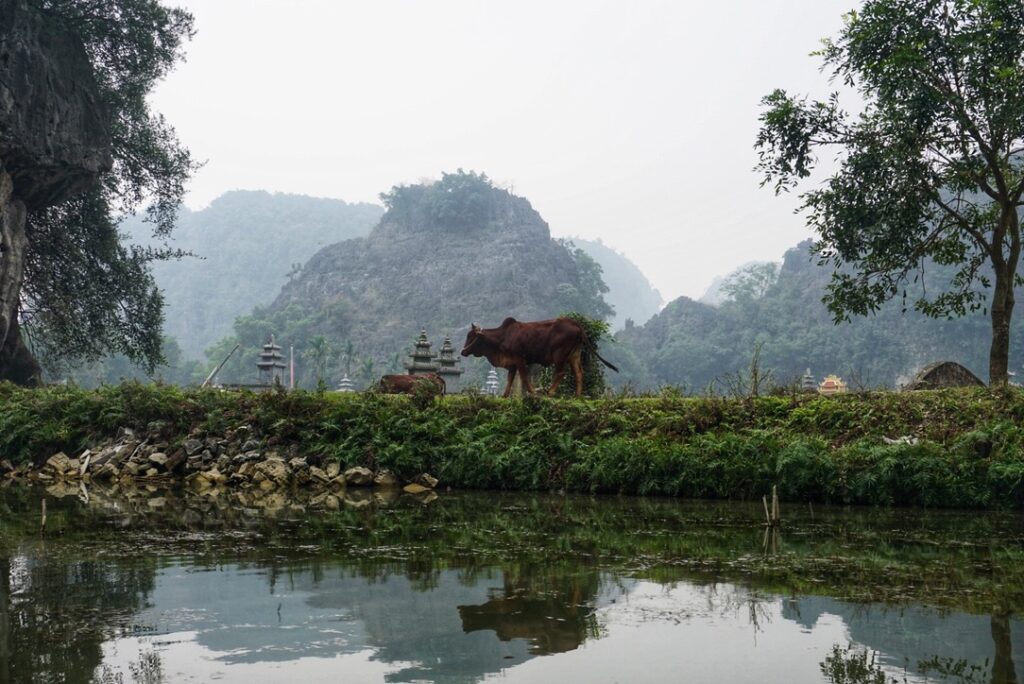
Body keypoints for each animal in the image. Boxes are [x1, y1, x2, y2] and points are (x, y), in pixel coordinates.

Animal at [460, 317, 618, 398]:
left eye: (470, 336)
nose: (462, 352)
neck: (503, 337)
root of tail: (576, 324)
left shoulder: (519, 359)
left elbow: (524, 377)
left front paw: (532, 391)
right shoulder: (512, 362)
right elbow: (510, 379)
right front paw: (504, 395)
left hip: (559, 355)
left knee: (561, 372)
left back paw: (550, 392)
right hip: (575, 355)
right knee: (579, 373)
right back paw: (577, 396)